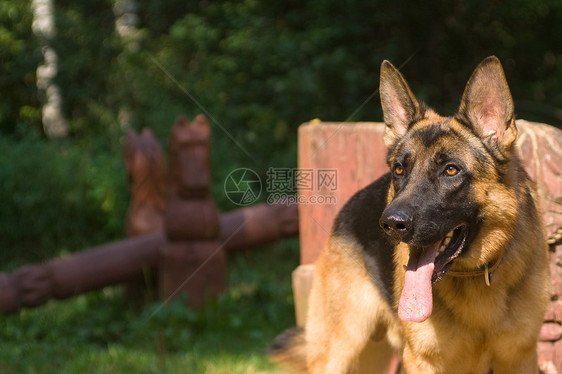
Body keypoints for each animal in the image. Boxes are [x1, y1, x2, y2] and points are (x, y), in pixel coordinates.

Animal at [270, 56, 548, 374]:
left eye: (450, 170)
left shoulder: (520, 359)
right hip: (336, 353)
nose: (390, 224)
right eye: (399, 169)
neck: (475, 276)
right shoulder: (422, 361)